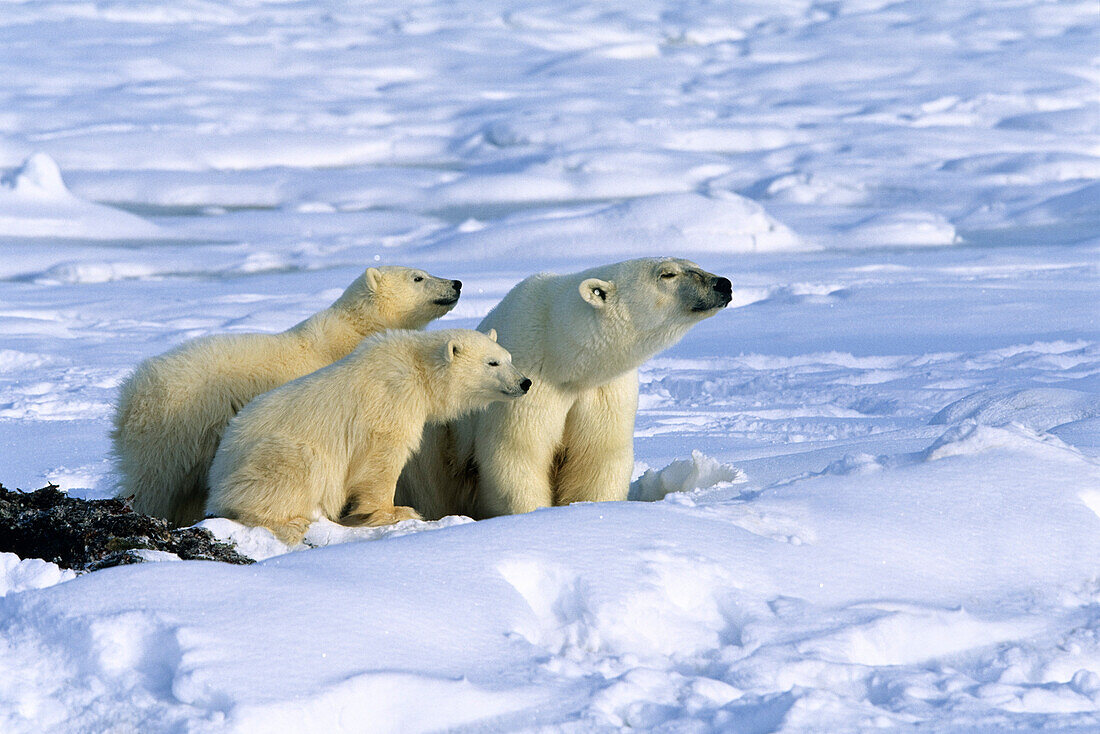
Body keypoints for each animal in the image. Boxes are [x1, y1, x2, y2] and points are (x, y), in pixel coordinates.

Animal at [118, 267, 462, 526]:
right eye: (417, 277)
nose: (456, 283)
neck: (355, 330)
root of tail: (130, 395)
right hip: (174, 431)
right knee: (156, 484)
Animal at [398, 255, 730, 519]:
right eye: (668, 274)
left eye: (695, 264)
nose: (723, 284)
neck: (562, 355)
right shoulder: (527, 380)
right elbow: (517, 452)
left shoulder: (604, 392)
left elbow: (599, 455)